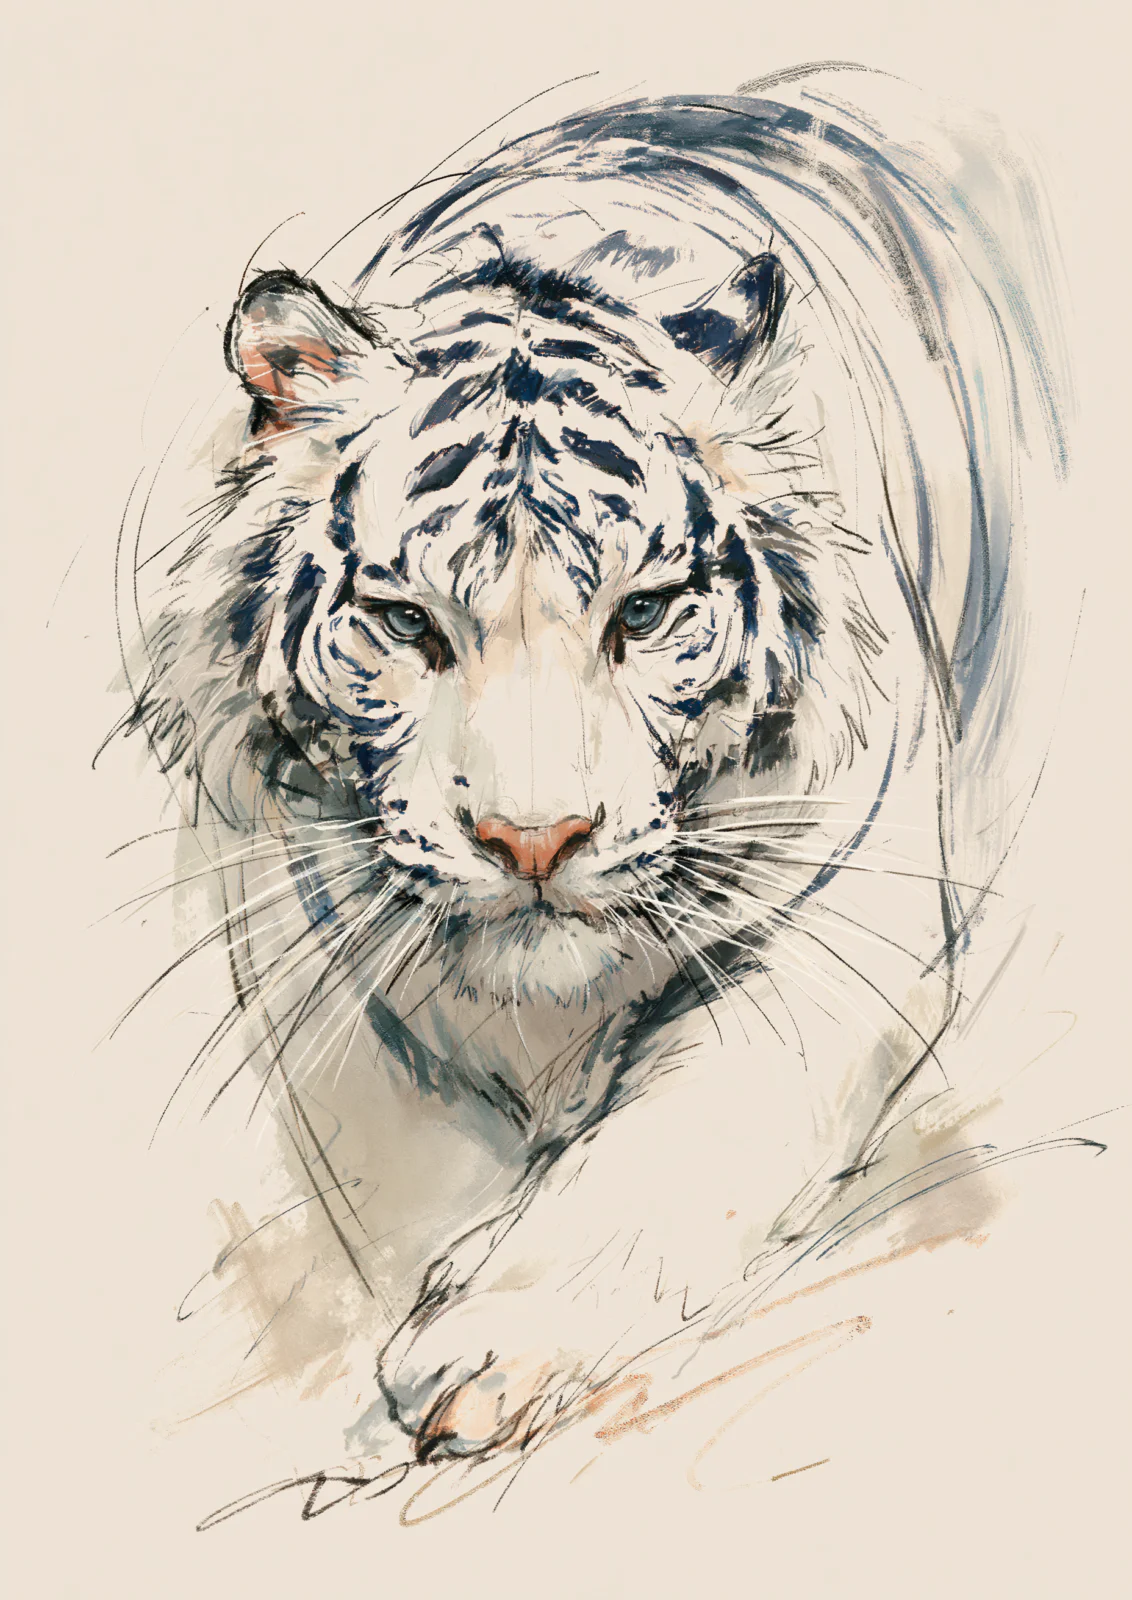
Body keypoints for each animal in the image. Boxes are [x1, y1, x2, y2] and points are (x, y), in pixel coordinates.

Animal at [125, 76, 1067, 1461]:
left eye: (647, 610)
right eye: (404, 620)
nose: (534, 840)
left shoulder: (842, 912)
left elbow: (665, 1146)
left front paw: (485, 1351)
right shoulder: (313, 953)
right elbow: (398, 1158)